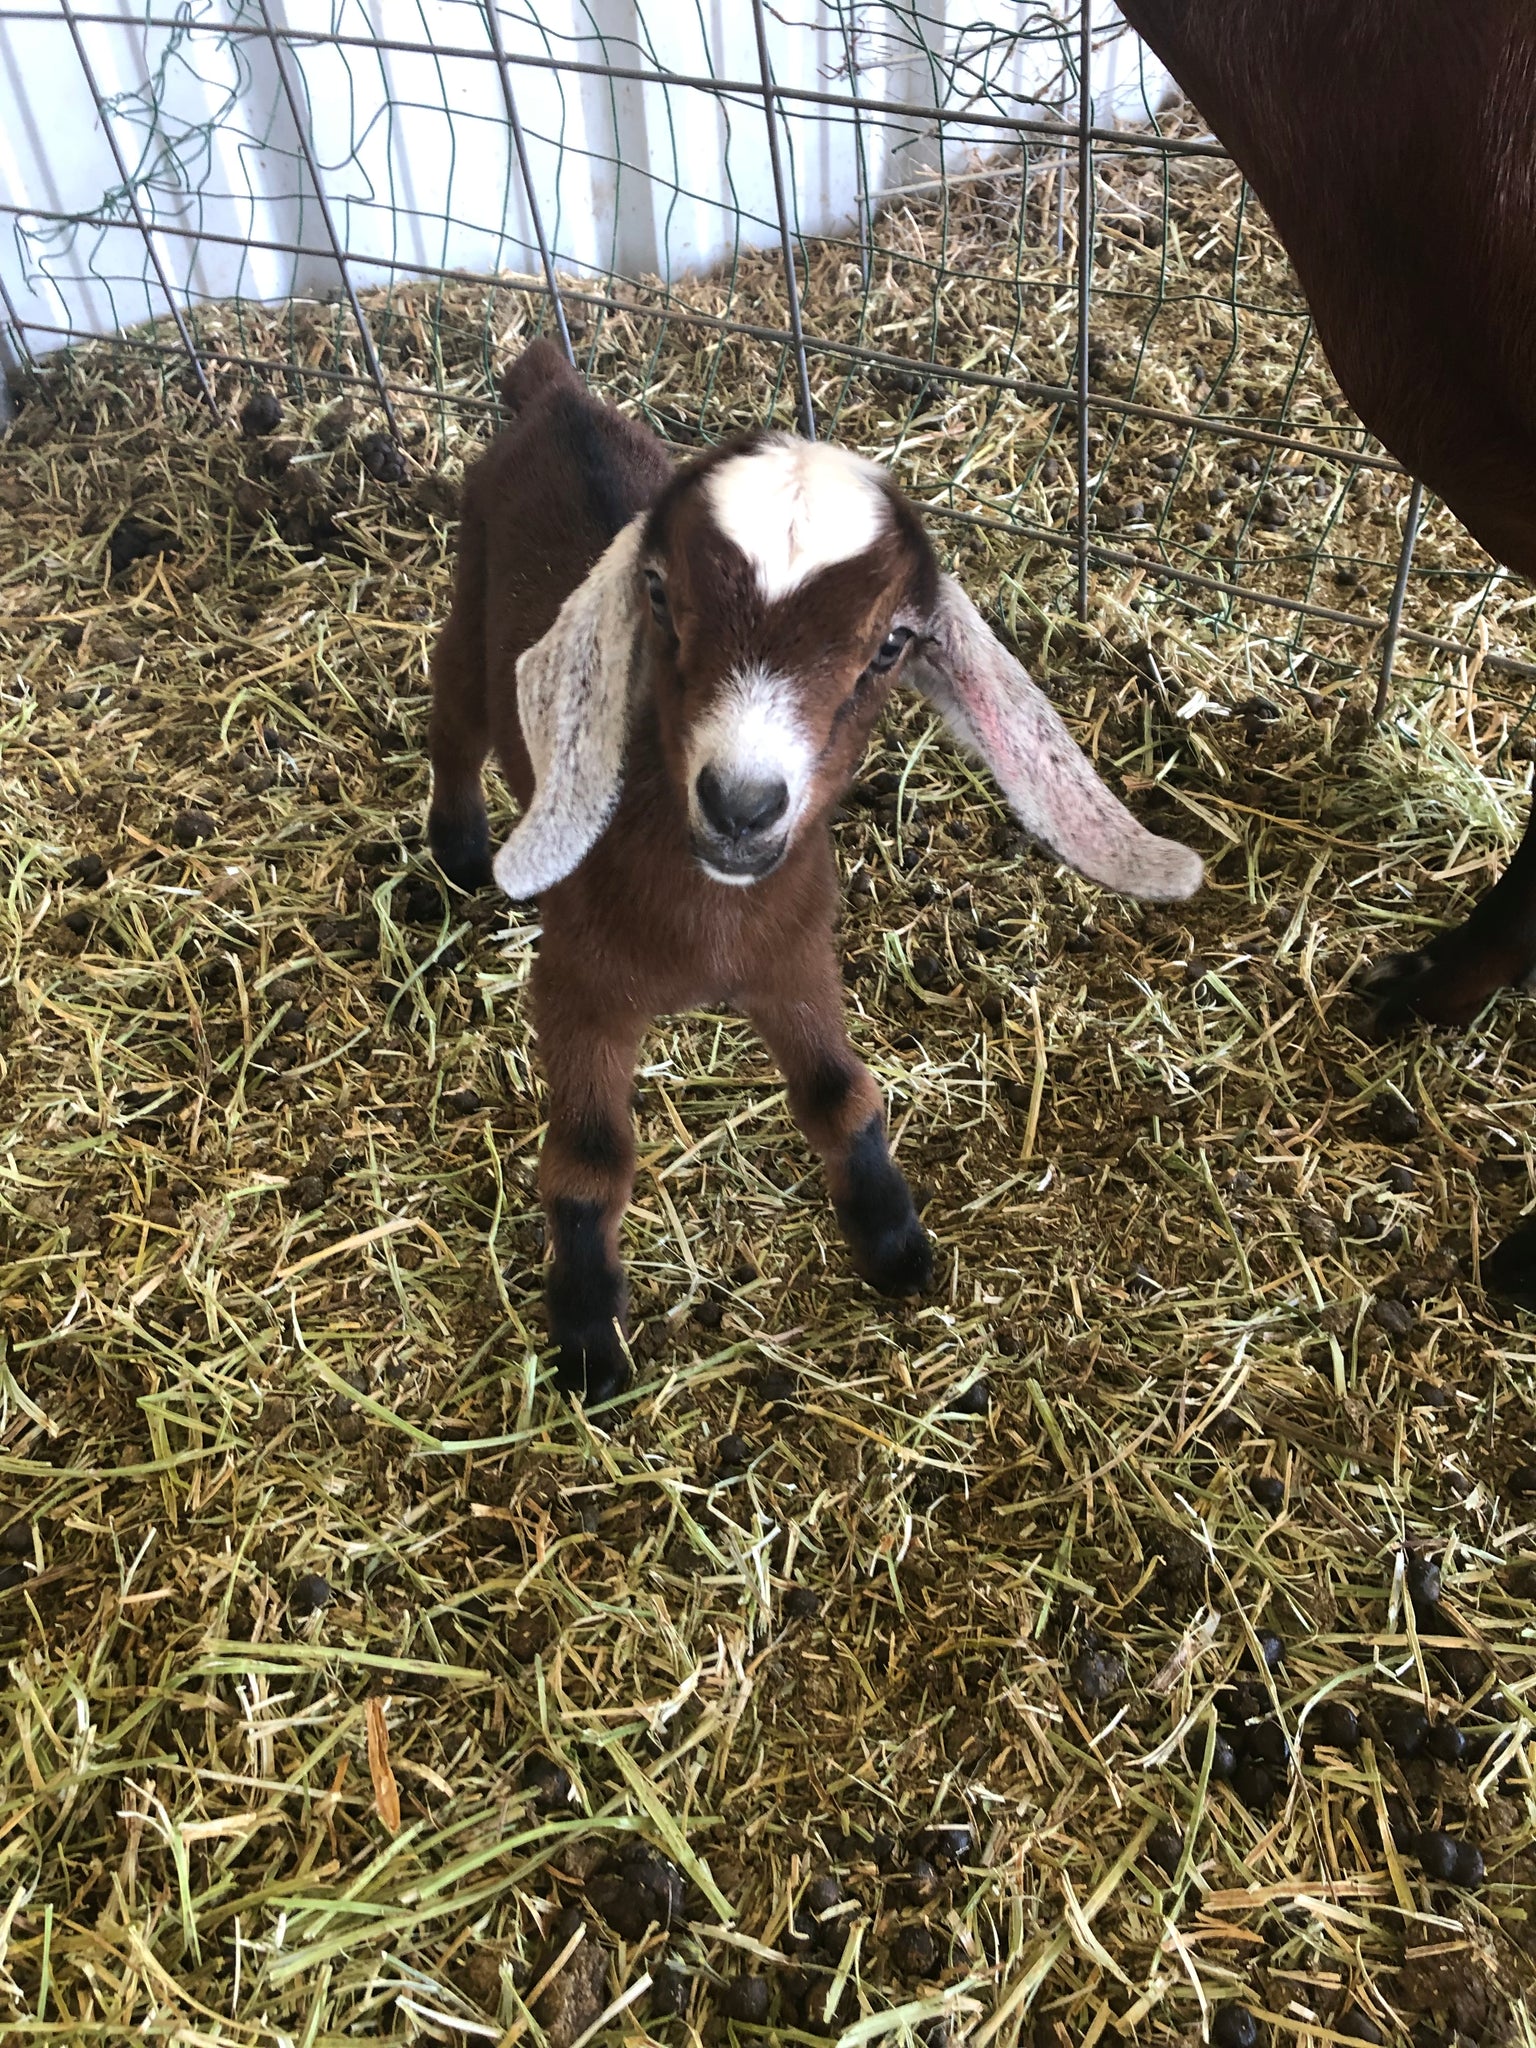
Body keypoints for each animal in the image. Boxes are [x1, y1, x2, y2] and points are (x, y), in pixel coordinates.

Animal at [430, 348, 1204, 1409]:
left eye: (892, 644)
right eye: (659, 597)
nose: (743, 804)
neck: (709, 929)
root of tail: (553, 390)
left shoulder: (796, 961)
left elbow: (843, 1094)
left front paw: (895, 1241)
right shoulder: (578, 986)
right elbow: (588, 1161)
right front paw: (588, 1338)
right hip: (469, 607)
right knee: (453, 721)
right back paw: (459, 852)